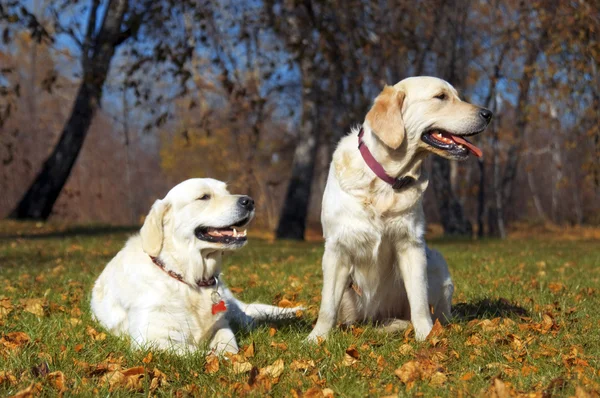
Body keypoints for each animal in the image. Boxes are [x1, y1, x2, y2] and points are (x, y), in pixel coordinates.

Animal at [90, 179, 300, 352]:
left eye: (227, 191)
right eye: (204, 197)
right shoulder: (151, 339)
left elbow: (229, 346)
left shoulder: (222, 325)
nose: (249, 201)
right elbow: (199, 353)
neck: (187, 276)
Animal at [310, 77, 492, 342]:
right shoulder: (337, 248)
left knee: (439, 312)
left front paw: (426, 335)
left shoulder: (411, 245)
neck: (385, 180)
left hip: (437, 261)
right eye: (441, 97)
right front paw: (316, 338)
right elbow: (326, 307)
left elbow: (419, 302)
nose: (488, 114)